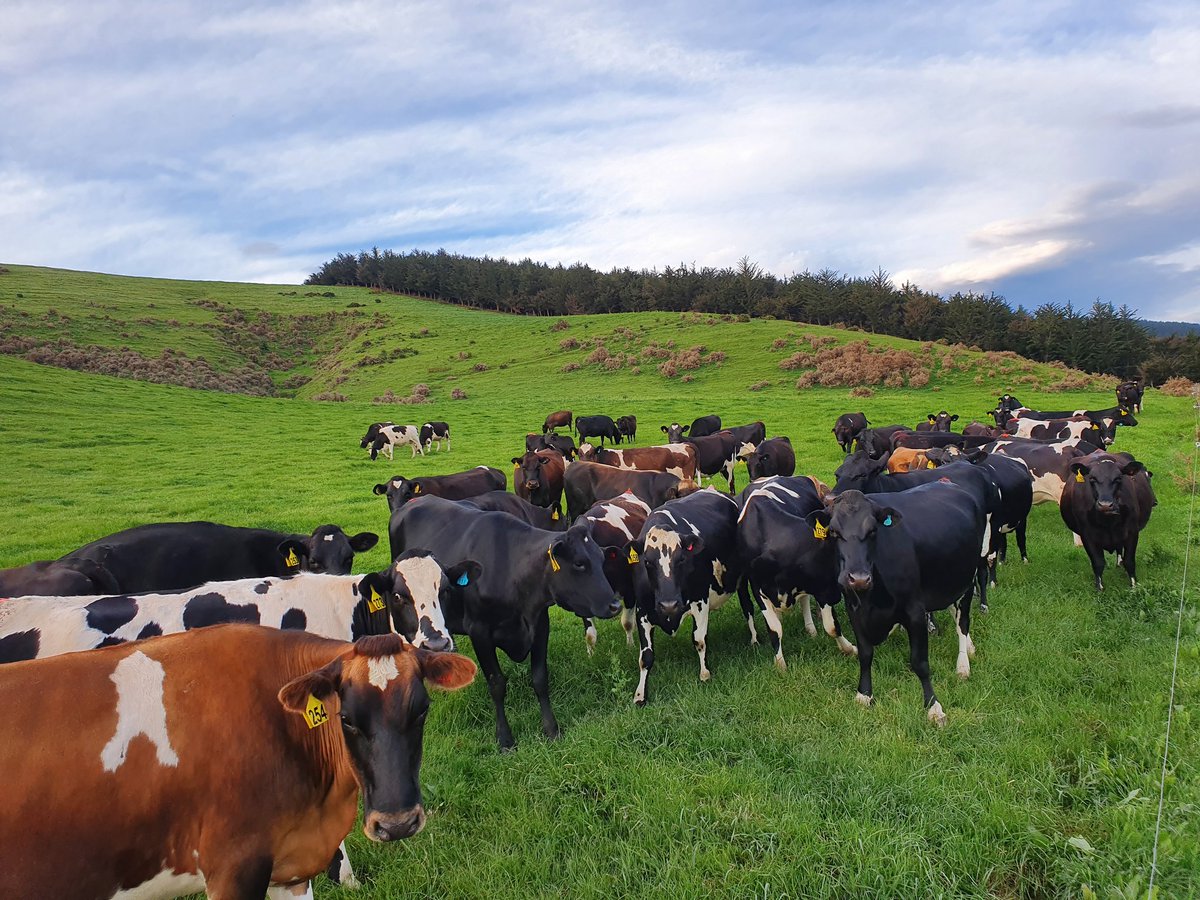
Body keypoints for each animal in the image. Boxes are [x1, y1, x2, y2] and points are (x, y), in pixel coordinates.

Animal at [388, 495, 622, 749]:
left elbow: (540, 678)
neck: (511, 571)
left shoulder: (540, 624)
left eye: (601, 559)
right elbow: (497, 684)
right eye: (579, 563)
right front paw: (505, 738)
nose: (615, 605)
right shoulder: (479, 632)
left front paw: (551, 729)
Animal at [628, 488, 742, 705]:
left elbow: (699, 639)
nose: (669, 605)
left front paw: (704, 674)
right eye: (647, 562)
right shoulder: (642, 611)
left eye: (681, 559)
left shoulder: (701, 601)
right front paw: (640, 695)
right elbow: (645, 657)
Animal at [736, 476, 856, 670]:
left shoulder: (820, 586)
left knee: (804, 599)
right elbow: (774, 628)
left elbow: (832, 626)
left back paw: (811, 629)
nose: (838, 596)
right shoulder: (758, 587)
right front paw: (780, 665)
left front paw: (850, 649)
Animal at [814, 481, 987, 726]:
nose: (859, 578)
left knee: (962, 621)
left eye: (873, 531)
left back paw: (963, 663)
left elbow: (920, 662)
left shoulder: (914, 611)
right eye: (834, 533)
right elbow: (865, 654)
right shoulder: (854, 609)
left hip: (967, 579)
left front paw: (934, 707)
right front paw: (864, 694)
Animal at [1060, 453, 1154, 590]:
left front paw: (1134, 586)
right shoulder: (1087, 534)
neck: (1108, 522)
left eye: (1118, 479)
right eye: (1092, 479)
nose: (1105, 505)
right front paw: (1099, 588)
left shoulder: (1132, 531)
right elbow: (1098, 562)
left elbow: (1129, 561)